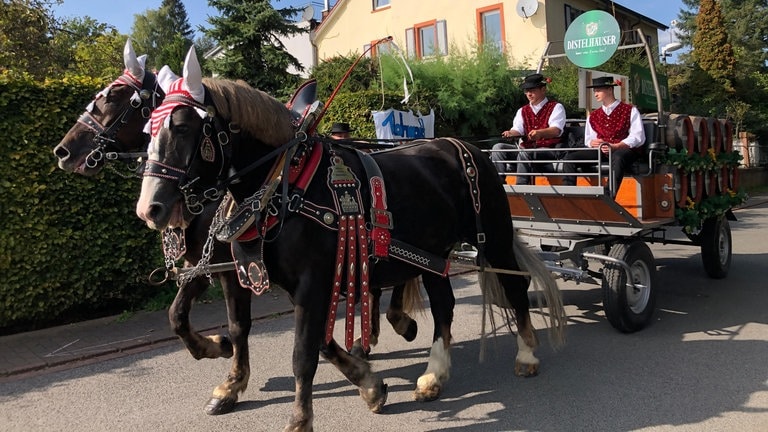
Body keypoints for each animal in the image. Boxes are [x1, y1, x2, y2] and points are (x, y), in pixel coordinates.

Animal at [51, 40, 420, 416]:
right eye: (147, 131)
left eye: (114, 97)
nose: (63, 151)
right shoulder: (206, 264)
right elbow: (179, 315)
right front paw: (218, 352)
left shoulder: (232, 268)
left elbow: (241, 325)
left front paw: (229, 372)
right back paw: (371, 336)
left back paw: (395, 323)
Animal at [134, 45, 564, 430]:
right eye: (146, 130)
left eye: (182, 127)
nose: (149, 208)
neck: (287, 181)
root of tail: (464, 145)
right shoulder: (277, 278)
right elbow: (301, 340)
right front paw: (370, 385)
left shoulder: (311, 281)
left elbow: (303, 352)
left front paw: (300, 420)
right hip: (432, 252)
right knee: (444, 304)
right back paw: (433, 373)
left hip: (494, 236)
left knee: (514, 286)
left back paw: (526, 354)